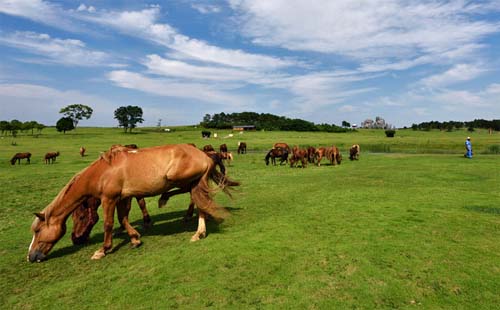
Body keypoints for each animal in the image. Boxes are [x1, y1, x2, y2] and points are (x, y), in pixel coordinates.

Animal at [27, 143, 240, 262]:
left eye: (38, 231)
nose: (31, 257)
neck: (102, 172)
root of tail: (205, 155)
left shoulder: (109, 199)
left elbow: (108, 224)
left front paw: (102, 250)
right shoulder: (122, 198)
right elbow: (123, 219)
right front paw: (135, 238)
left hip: (181, 178)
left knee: (193, 197)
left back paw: (166, 201)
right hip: (194, 182)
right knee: (200, 201)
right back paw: (198, 232)